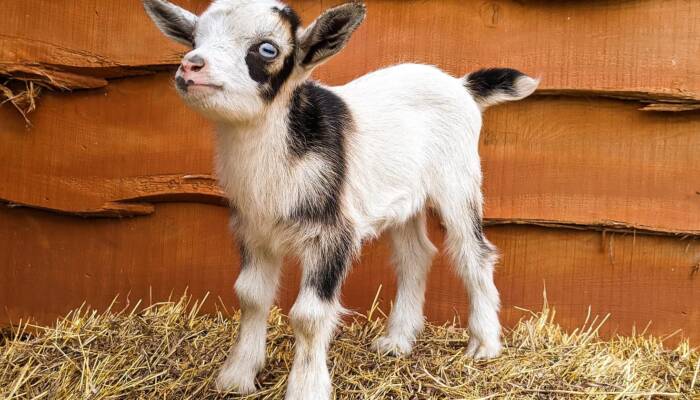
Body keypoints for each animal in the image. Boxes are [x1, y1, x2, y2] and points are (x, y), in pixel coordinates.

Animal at [142, 1, 539, 398]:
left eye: (267, 49)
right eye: (195, 38)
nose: (191, 65)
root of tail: (461, 86)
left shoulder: (332, 233)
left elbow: (309, 315)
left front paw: (306, 388)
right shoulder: (254, 230)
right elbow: (251, 296)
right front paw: (237, 376)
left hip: (458, 180)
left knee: (473, 253)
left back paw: (484, 345)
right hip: (403, 200)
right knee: (416, 256)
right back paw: (397, 341)